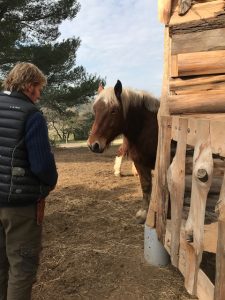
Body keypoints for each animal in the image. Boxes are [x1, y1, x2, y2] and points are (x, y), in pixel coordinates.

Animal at [87, 79, 159, 223]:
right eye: (95, 110)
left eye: (113, 111)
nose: (94, 145)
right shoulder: (140, 162)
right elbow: (146, 186)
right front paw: (144, 213)